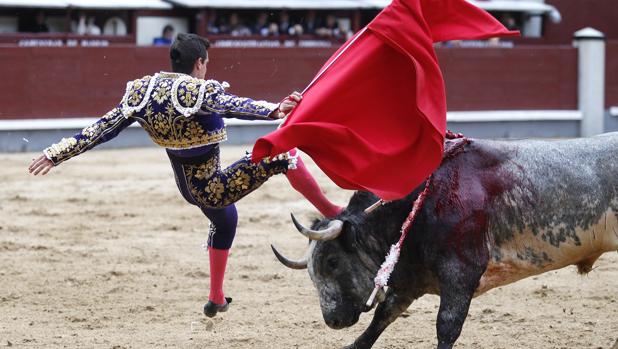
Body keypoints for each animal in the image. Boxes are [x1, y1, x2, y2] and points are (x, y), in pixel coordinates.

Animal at [270, 134, 616, 348]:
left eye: (332, 262)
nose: (333, 320)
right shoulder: (410, 278)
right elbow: (380, 320)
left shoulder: (460, 274)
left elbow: (446, 326)